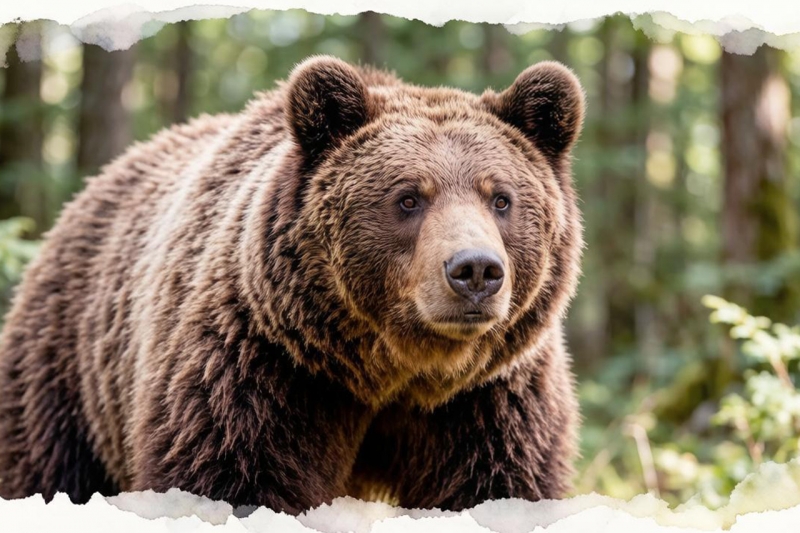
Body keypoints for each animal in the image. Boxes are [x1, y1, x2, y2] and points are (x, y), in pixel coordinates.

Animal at [0, 55, 585, 514]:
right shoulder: (259, 372)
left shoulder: (490, 400)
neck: (391, 372)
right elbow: (230, 479)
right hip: (68, 372)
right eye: (408, 198)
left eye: (501, 198)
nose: (475, 271)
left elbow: (500, 483)